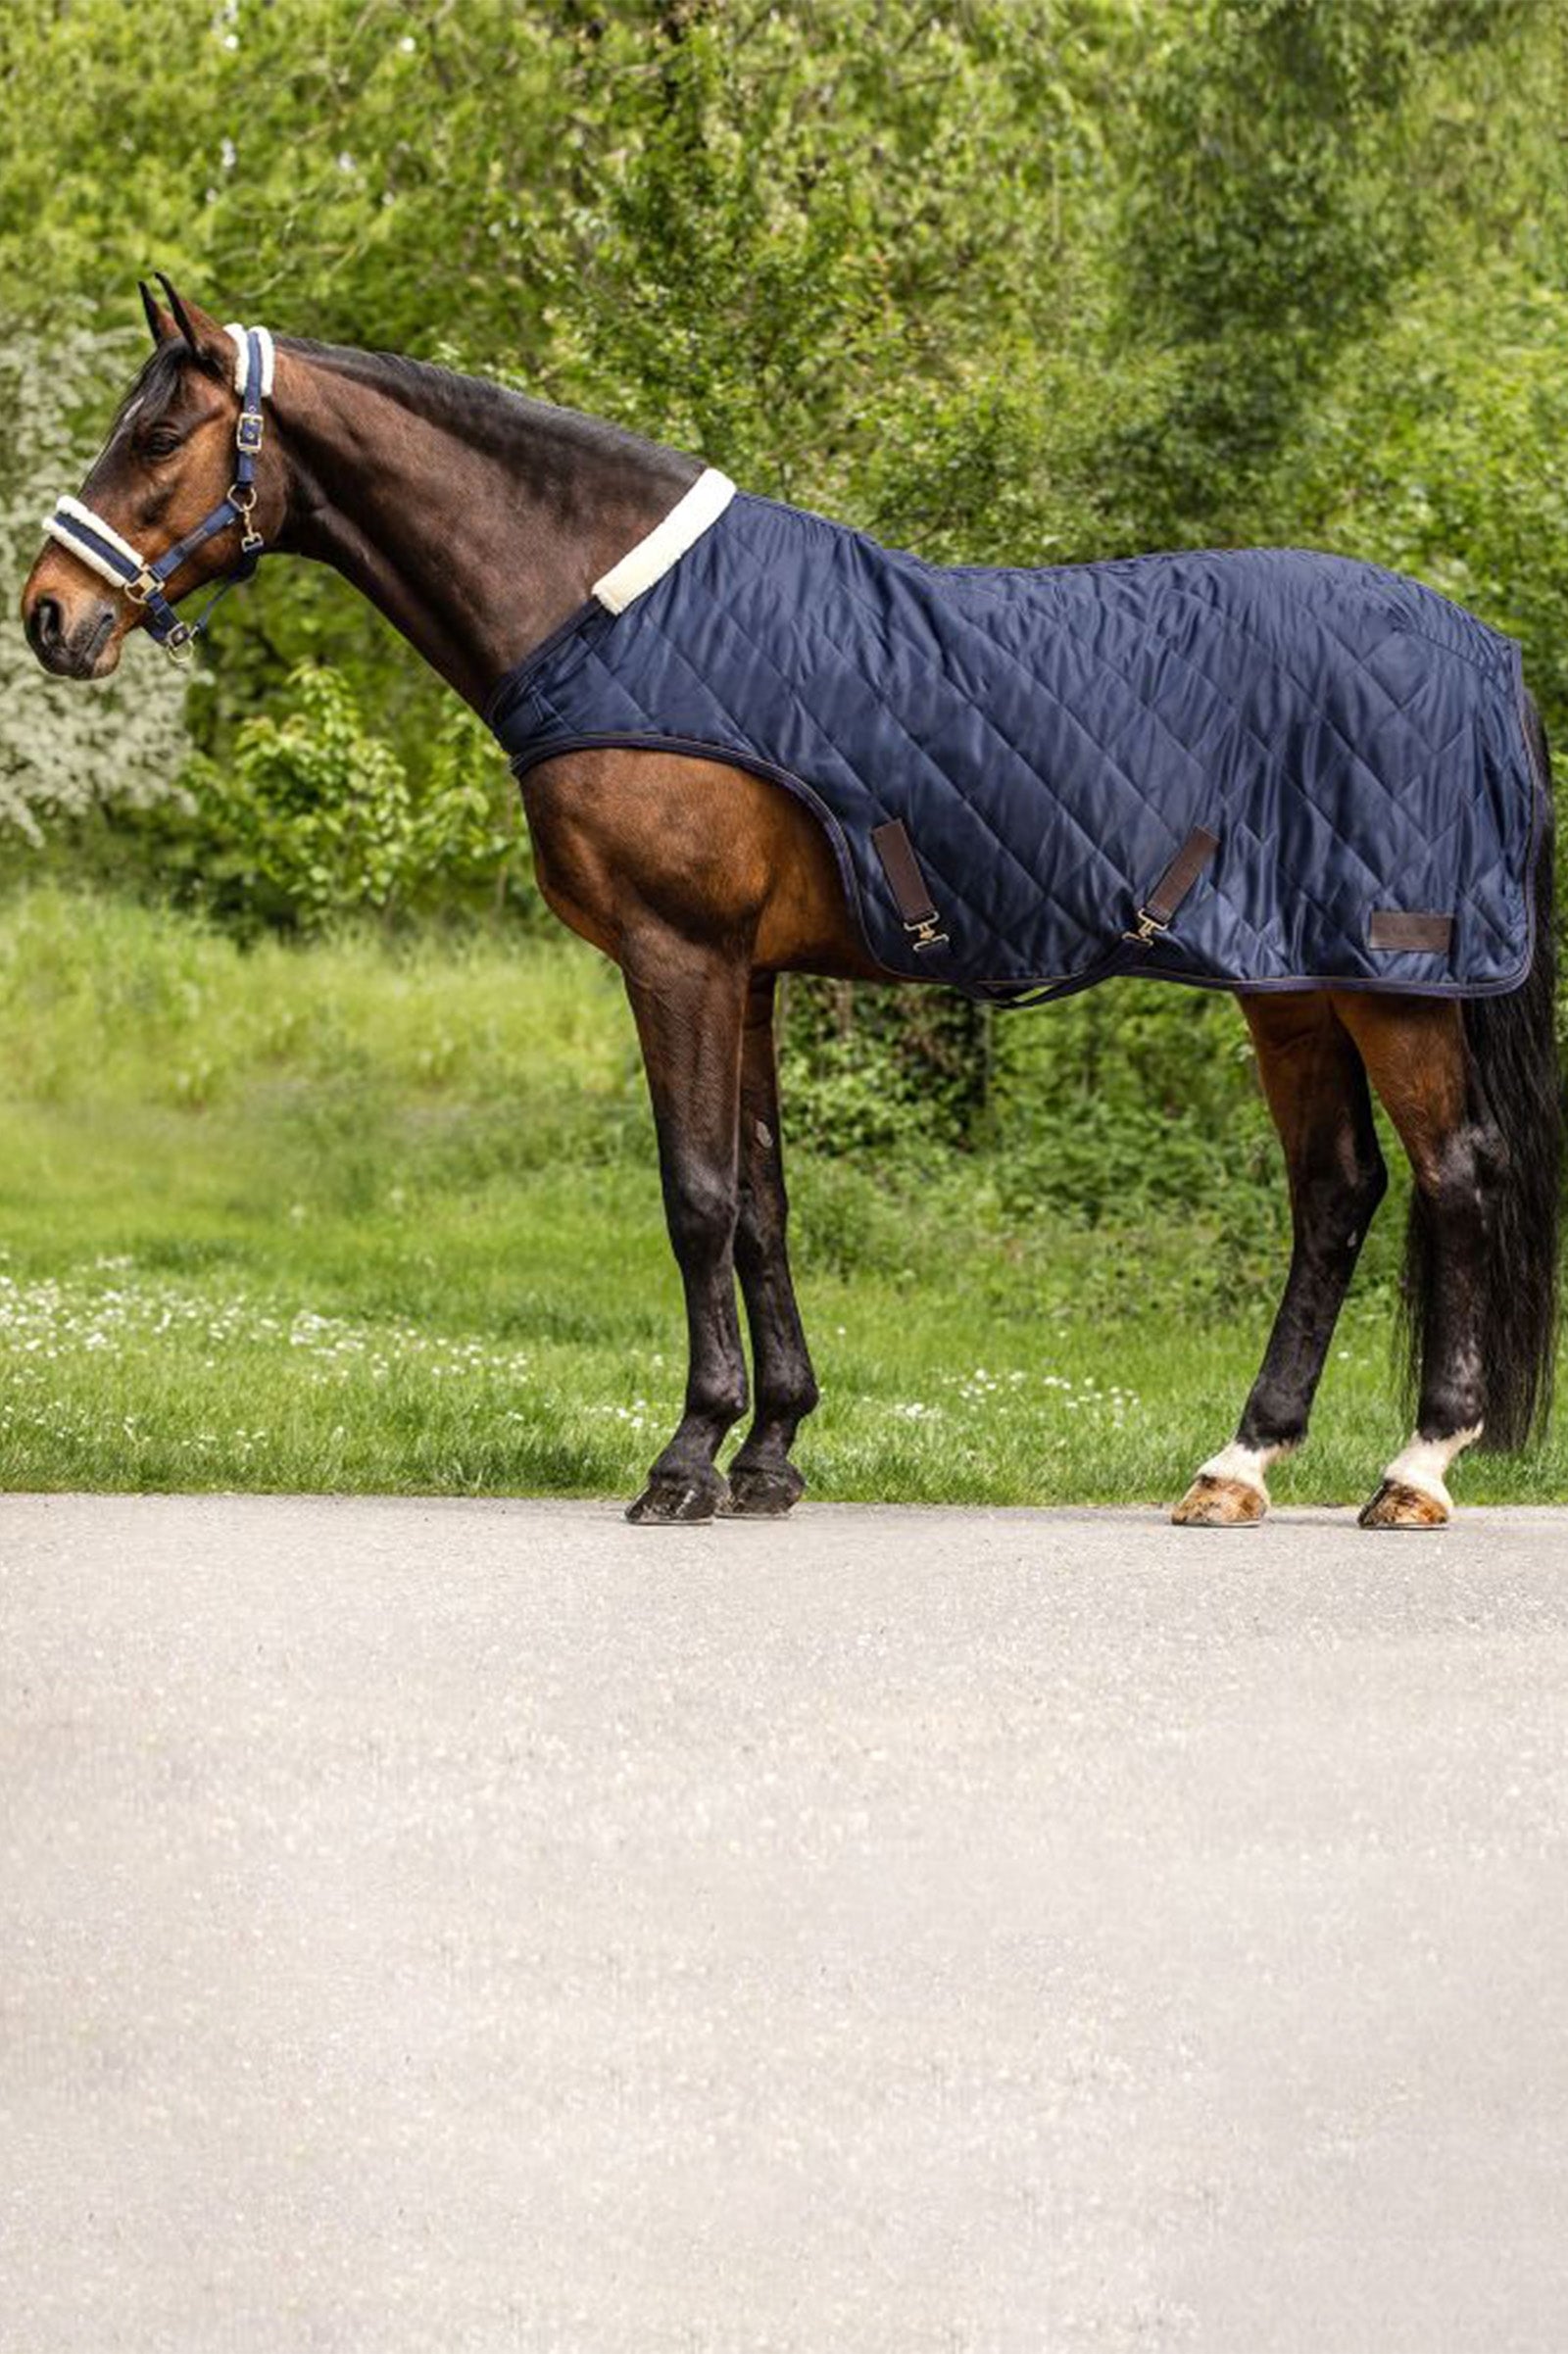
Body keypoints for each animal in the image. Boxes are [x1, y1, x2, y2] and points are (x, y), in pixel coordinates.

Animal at [20, 281, 1561, 1531]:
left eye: (158, 436)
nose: (48, 615)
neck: (612, 611)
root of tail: (1480, 645)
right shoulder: (745, 972)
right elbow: (762, 1202)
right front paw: (769, 1454)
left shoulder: (676, 953)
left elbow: (696, 1195)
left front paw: (683, 1460)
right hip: (1289, 984)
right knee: (1338, 1193)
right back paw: (1237, 1465)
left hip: (1385, 982)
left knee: (1457, 1174)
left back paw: (1416, 1468)